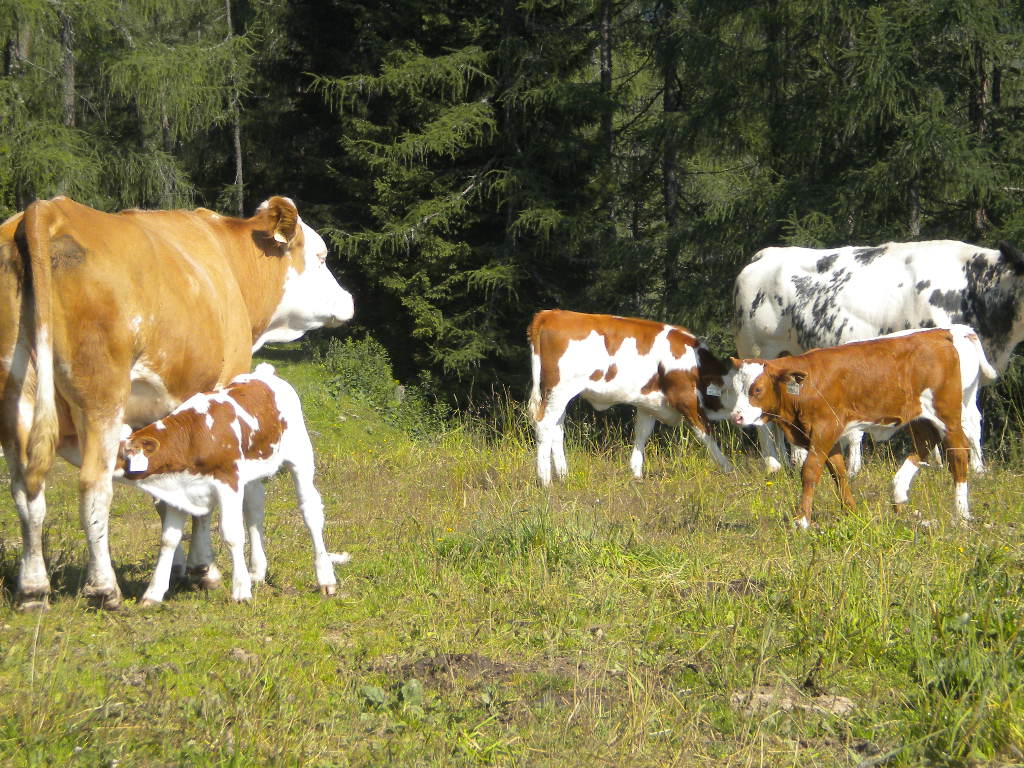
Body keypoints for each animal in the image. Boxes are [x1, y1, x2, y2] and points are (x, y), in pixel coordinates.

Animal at [118, 364, 352, 610]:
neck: (193, 435)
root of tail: (264, 374)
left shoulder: (228, 482)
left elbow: (232, 534)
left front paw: (240, 591)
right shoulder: (178, 491)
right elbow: (168, 539)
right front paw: (153, 593)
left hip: (301, 457)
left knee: (310, 511)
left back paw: (325, 578)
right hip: (252, 474)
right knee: (255, 511)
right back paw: (257, 571)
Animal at [528, 309, 737, 483]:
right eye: (742, 388)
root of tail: (551, 314)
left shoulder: (650, 404)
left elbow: (642, 433)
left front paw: (636, 474)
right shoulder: (686, 398)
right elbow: (706, 434)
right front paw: (728, 468)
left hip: (556, 395)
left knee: (557, 428)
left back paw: (563, 476)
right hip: (559, 390)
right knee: (544, 425)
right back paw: (545, 480)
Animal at [729, 325, 991, 528]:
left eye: (757, 389)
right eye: (735, 388)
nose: (736, 417)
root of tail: (941, 333)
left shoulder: (825, 429)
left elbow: (810, 471)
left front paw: (801, 519)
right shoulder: (827, 436)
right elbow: (839, 472)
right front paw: (851, 511)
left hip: (949, 414)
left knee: (958, 455)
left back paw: (961, 514)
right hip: (919, 416)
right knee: (924, 443)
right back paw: (898, 492)